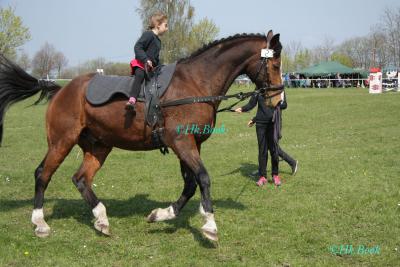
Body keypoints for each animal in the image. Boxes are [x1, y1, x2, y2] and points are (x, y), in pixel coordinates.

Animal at [0, 30, 282, 242]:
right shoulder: (182, 143)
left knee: (80, 179)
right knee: (42, 174)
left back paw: (101, 219)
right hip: (62, 141)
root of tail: (61, 89)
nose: (278, 99)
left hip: (99, 145)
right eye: (276, 64)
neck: (194, 83)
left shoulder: (191, 145)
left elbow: (190, 184)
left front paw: (162, 214)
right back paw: (40, 223)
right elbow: (202, 178)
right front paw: (210, 225)